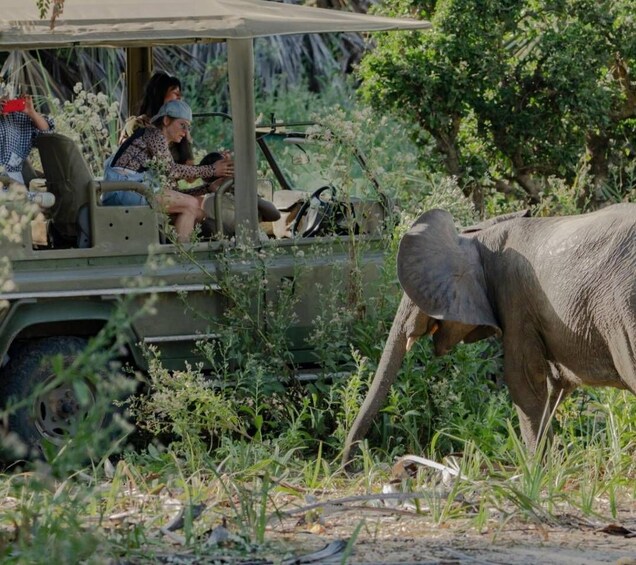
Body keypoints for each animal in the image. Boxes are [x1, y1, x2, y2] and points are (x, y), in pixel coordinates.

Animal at [342, 203, 636, 462]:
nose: (349, 466)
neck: (479, 236)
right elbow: (555, 383)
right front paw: (554, 466)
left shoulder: (514, 298)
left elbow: (523, 380)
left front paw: (536, 472)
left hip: (621, 310)